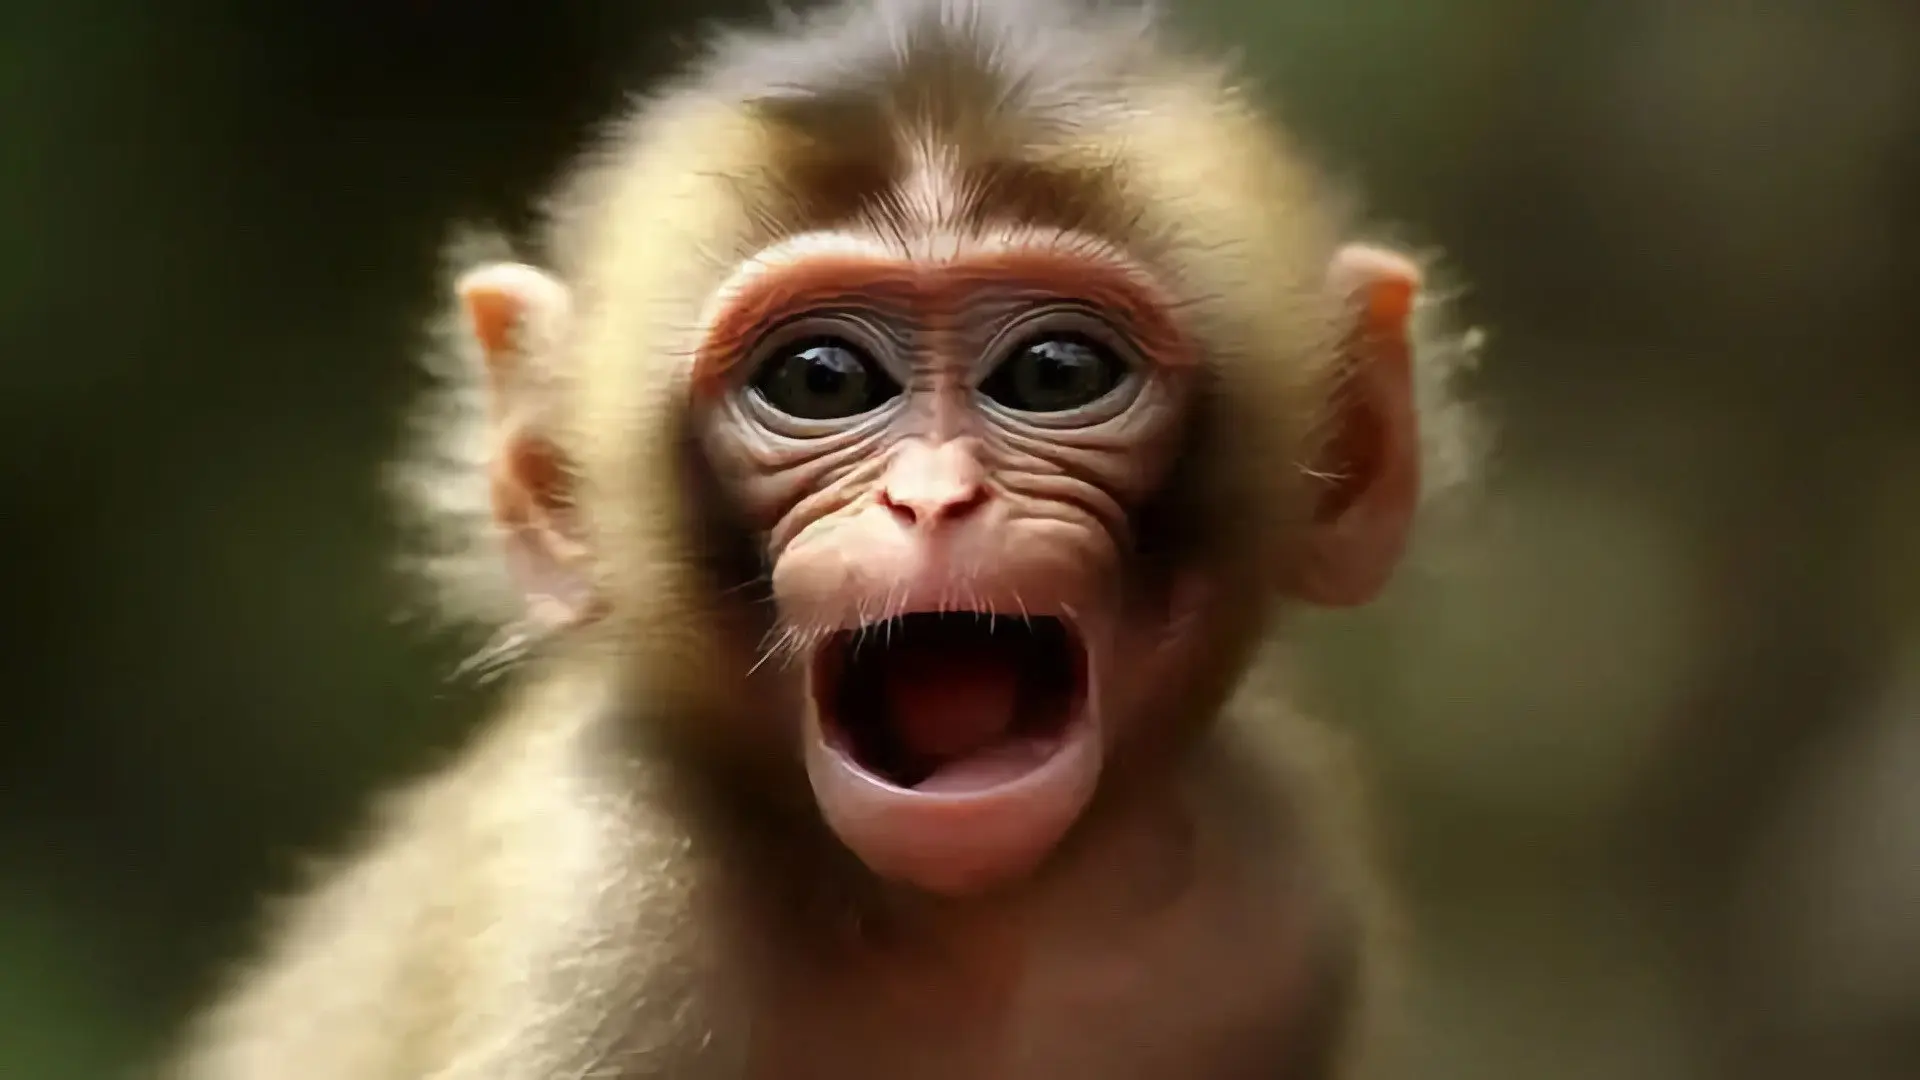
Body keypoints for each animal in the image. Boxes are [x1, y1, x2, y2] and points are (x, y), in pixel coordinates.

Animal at [163, 0, 1480, 1077]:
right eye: (821, 378)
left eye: (1057, 373)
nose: (935, 500)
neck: (962, 927)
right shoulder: (603, 921)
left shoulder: (1283, 898)